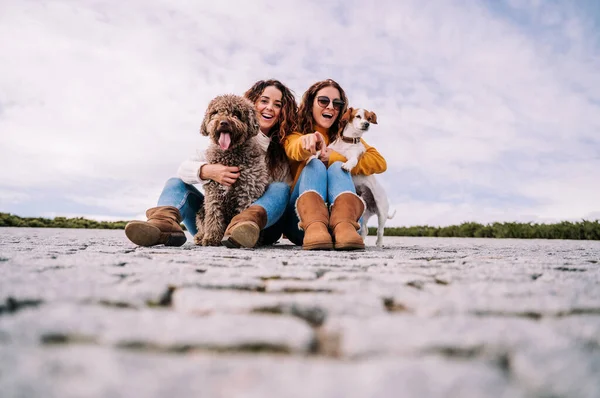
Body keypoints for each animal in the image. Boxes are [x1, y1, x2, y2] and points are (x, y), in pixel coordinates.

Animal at [326, 108, 396, 246]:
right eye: (358, 116)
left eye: (369, 118)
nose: (366, 124)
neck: (348, 141)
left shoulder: (354, 155)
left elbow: (352, 160)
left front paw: (347, 165)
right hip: (364, 214)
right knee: (365, 229)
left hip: (382, 212)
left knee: (380, 231)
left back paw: (379, 244)